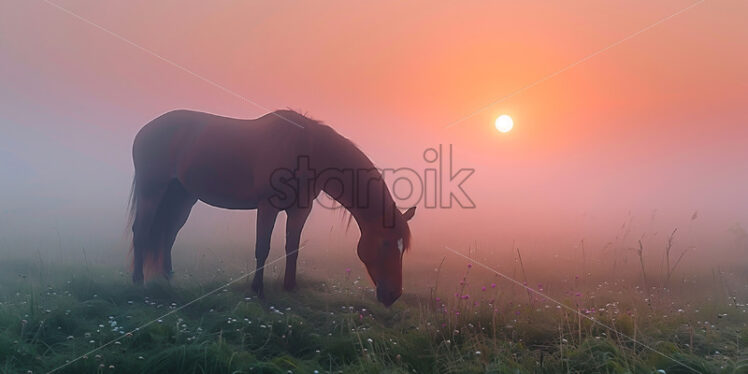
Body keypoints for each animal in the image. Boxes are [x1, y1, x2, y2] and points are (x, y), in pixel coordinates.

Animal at [131, 109, 418, 306]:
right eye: (385, 244)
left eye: (403, 248)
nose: (393, 295)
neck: (306, 150)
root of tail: (145, 131)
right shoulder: (267, 206)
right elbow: (263, 247)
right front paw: (257, 289)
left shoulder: (300, 210)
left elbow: (292, 247)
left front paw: (290, 286)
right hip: (151, 192)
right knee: (141, 232)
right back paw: (137, 281)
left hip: (182, 198)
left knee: (167, 235)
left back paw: (168, 279)